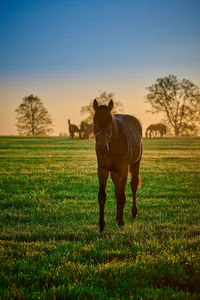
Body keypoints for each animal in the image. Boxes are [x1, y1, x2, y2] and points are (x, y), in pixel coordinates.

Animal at [92, 98, 142, 232]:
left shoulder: (123, 170)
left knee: (133, 186)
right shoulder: (102, 170)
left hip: (135, 164)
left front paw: (121, 222)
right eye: (94, 120)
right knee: (117, 190)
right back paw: (117, 216)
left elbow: (122, 196)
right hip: (114, 172)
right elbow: (102, 196)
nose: (102, 148)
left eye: (110, 120)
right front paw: (101, 225)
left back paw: (133, 213)